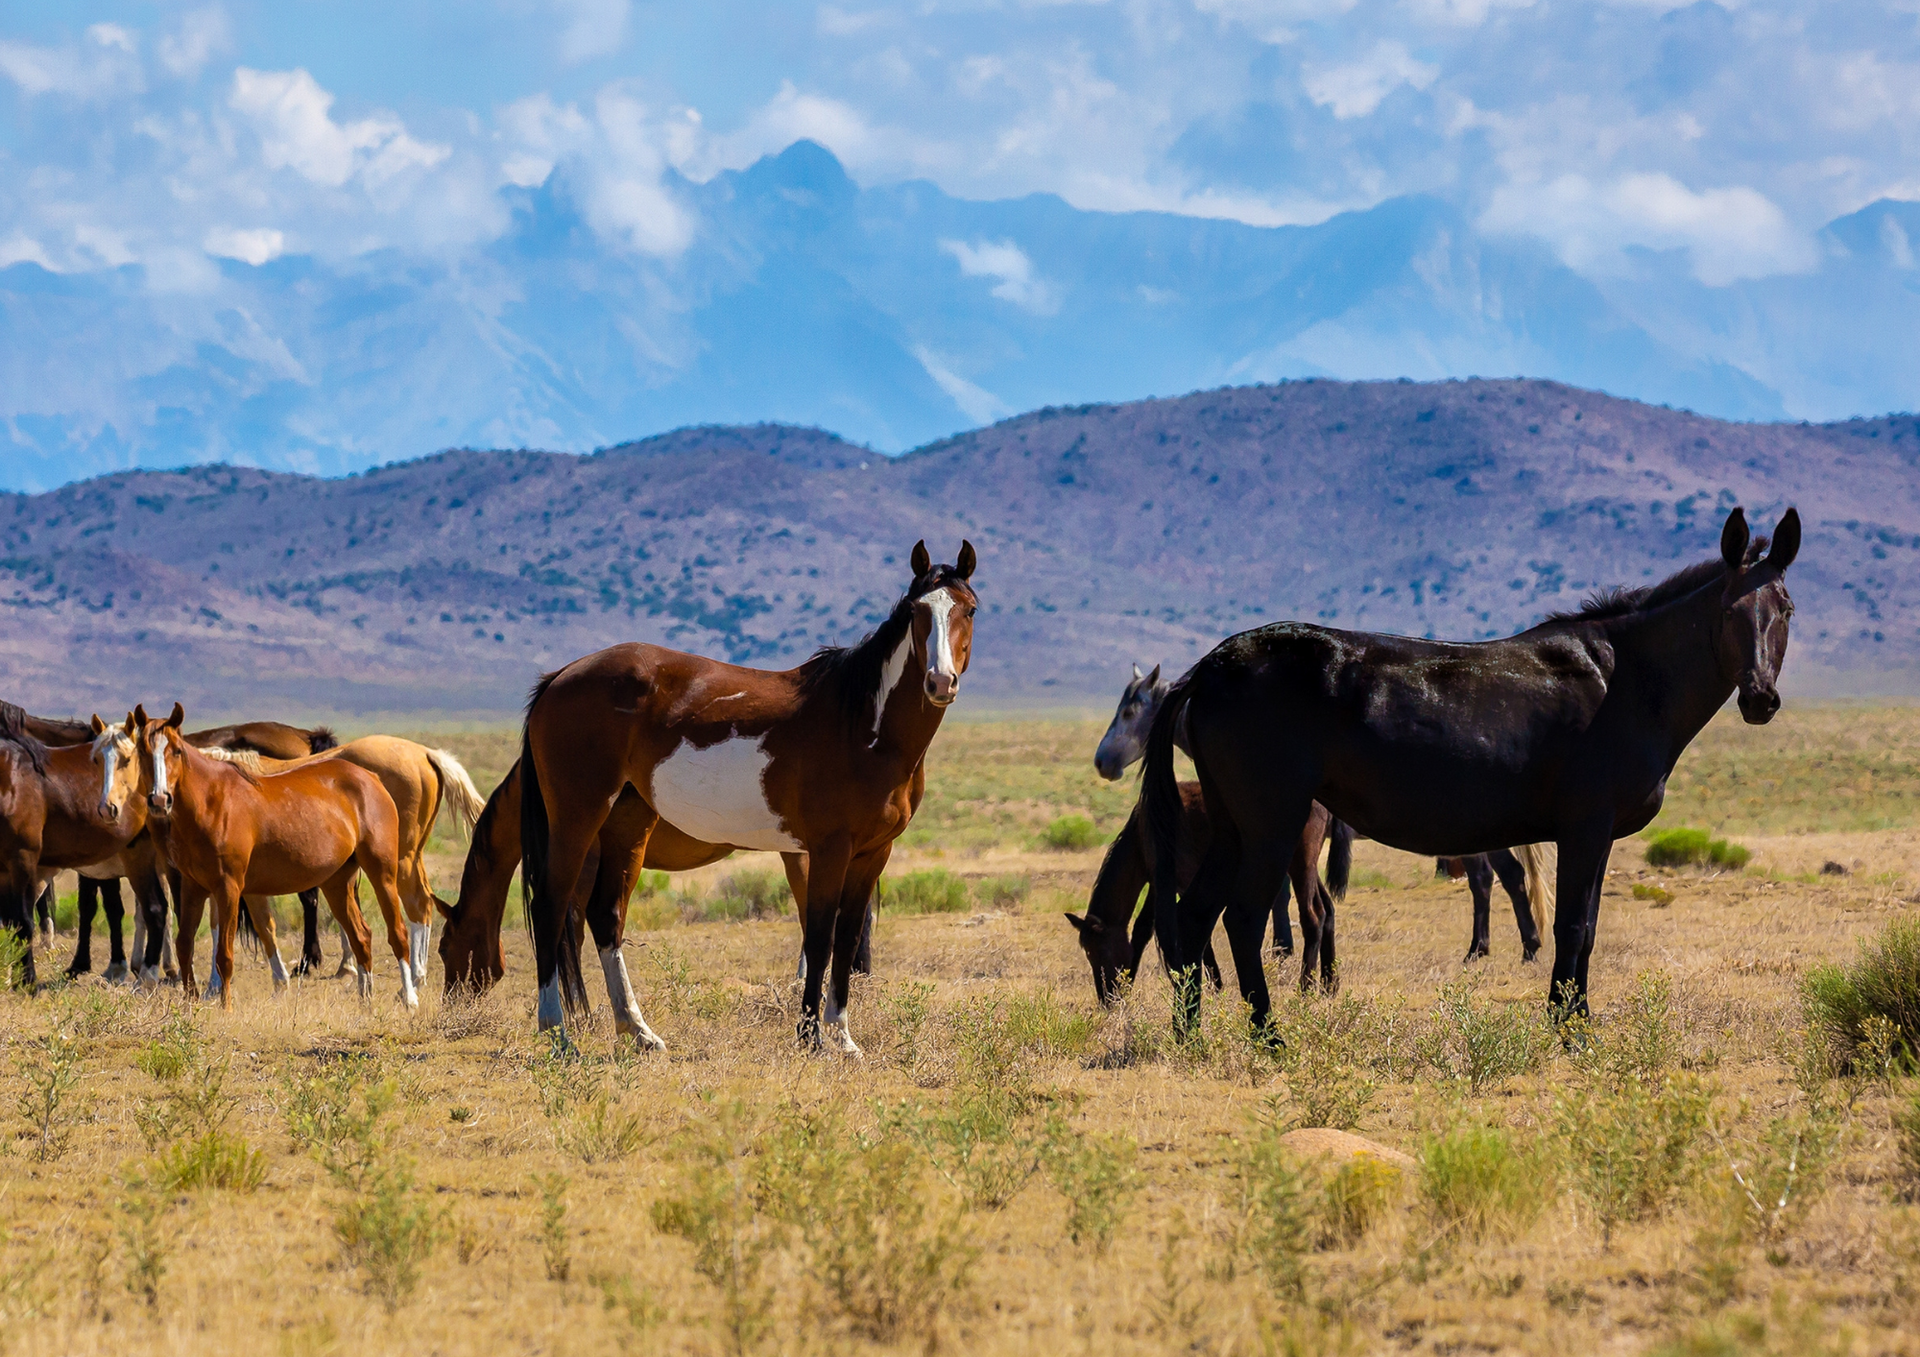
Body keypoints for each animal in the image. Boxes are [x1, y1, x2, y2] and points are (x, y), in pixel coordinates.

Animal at [136, 704, 409, 1008]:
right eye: (142, 750)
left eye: (176, 750)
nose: (159, 800)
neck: (212, 802)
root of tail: (371, 778)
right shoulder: (193, 887)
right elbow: (185, 946)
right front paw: (190, 1003)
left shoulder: (229, 887)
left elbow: (224, 954)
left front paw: (226, 1008)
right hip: (337, 882)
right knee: (361, 936)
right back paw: (366, 1001)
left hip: (381, 872)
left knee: (398, 932)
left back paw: (410, 998)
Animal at [519, 539, 977, 1055]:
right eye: (918, 612)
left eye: (969, 609)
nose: (940, 682)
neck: (863, 725)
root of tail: (559, 677)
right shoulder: (829, 849)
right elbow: (820, 935)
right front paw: (811, 1037)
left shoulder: (873, 853)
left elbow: (847, 937)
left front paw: (843, 1038)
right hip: (577, 818)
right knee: (551, 906)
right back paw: (558, 1036)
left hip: (627, 822)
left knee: (606, 915)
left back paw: (639, 1032)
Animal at [1144, 506, 1799, 1033]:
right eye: (1729, 609)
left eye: (1786, 609)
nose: (1761, 699)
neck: (1623, 679)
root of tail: (1209, 665)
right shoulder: (1585, 828)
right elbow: (1572, 927)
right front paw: (1572, 1032)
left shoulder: (1599, 836)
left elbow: (1584, 927)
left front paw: (1572, 1020)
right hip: (1270, 824)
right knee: (1242, 919)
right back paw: (1269, 1038)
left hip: (1232, 826)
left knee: (1194, 917)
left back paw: (1190, 1035)